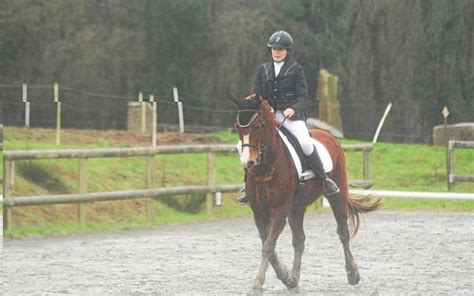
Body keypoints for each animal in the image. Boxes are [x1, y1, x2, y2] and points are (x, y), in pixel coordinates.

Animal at [231, 95, 380, 294]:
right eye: (238, 127)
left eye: (257, 127)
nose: (248, 162)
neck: (266, 166)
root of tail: (329, 136)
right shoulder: (259, 212)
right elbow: (269, 246)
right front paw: (285, 277)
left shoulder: (280, 211)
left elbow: (268, 246)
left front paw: (257, 284)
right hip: (297, 208)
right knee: (299, 240)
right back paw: (293, 279)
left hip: (336, 195)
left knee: (343, 233)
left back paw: (353, 274)